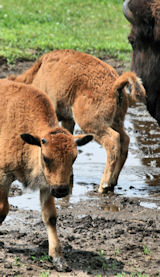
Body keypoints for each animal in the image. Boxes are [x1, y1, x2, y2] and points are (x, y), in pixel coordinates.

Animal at [0, 78, 92, 270]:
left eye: (74, 157)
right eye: (45, 157)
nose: (62, 191)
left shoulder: (46, 185)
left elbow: (50, 217)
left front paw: (58, 258)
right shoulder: (4, 176)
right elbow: (3, 209)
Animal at [8, 49, 146, 192]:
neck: (37, 74)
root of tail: (115, 83)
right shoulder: (68, 120)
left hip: (91, 124)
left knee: (113, 141)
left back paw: (104, 185)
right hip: (116, 122)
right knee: (125, 140)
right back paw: (113, 182)